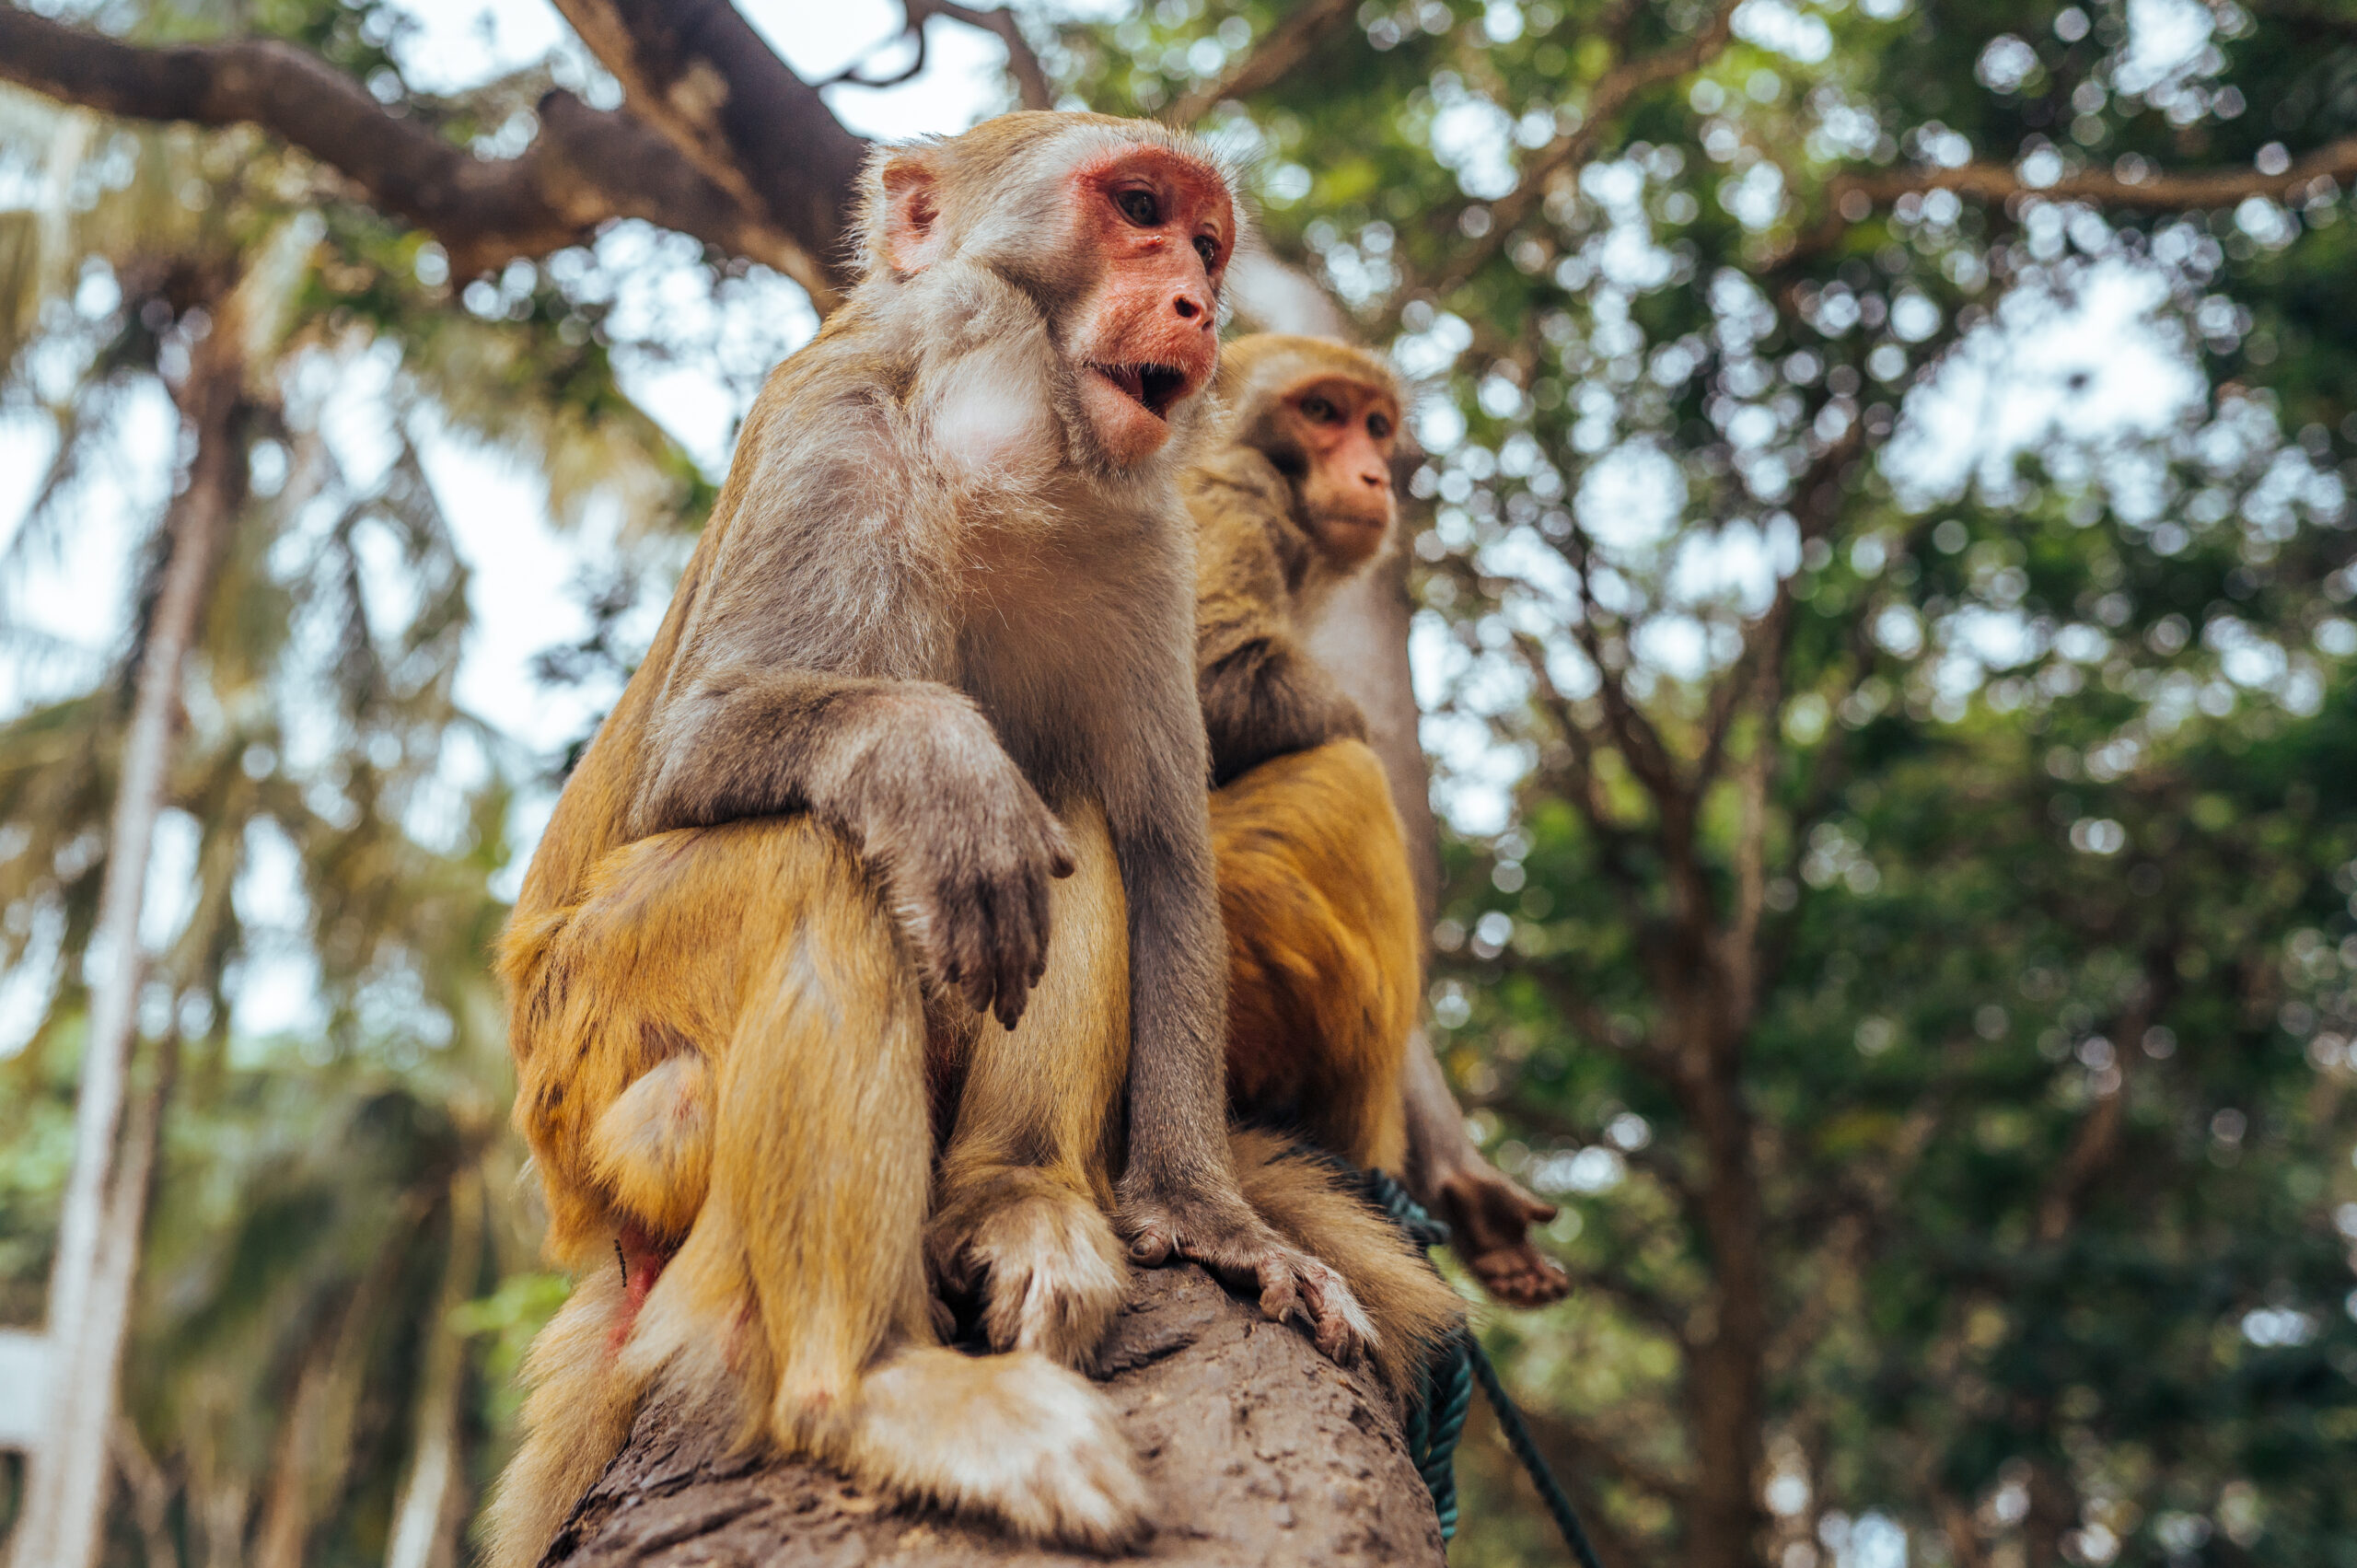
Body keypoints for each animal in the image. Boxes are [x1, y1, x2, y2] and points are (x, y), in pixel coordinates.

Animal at [482, 115, 1391, 1566]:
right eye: (1138, 209)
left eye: (1205, 245)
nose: (1196, 303)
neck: (995, 472)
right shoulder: (828, 431)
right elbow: (699, 747)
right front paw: (924, 755)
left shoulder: (1152, 537)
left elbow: (1161, 855)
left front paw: (1203, 1213)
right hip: (587, 1069)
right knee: (820, 862)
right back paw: (872, 1385)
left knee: (1064, 812)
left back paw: (1013, 1201)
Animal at [1188, 333, 1571, 1308]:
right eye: (1321, 413)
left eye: (1375, 424)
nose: (1371, 474)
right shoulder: (1229, 487)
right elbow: (1217, 676)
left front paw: (1473, 1191)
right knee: (1348, 779)